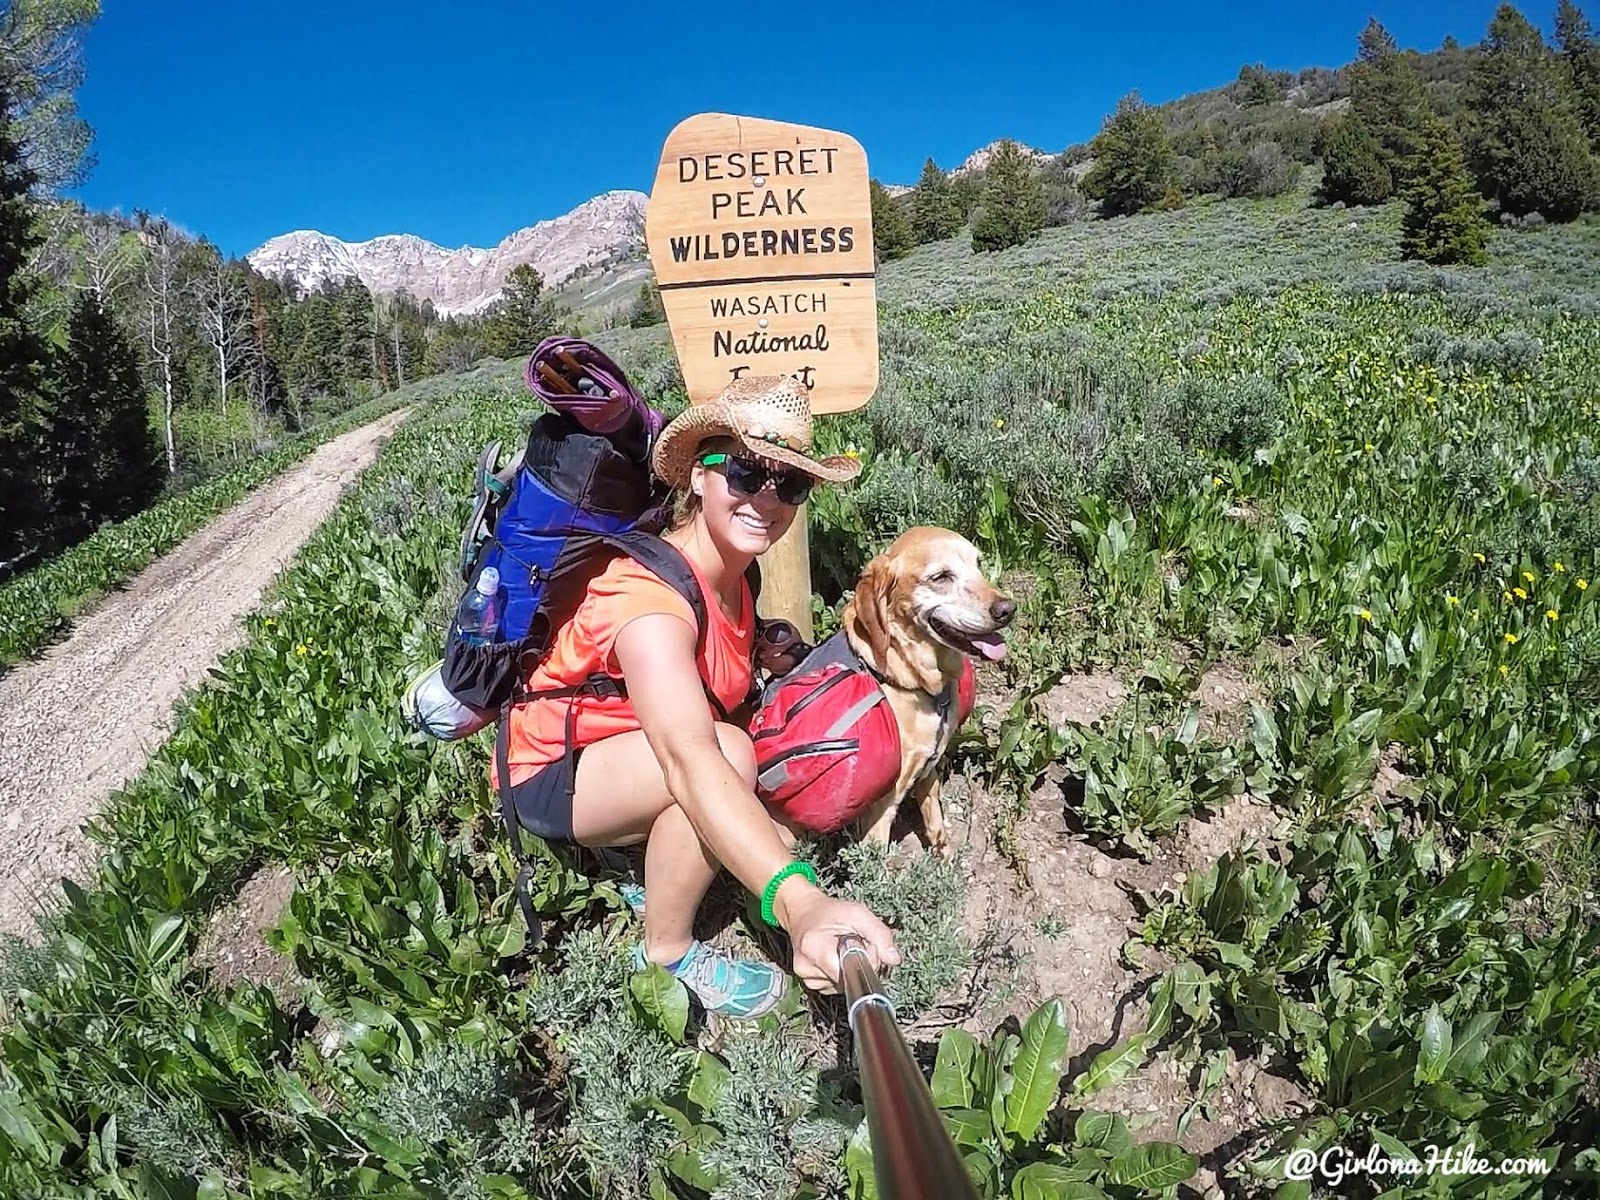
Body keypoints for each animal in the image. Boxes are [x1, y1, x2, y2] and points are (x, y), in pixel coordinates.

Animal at [838, 524, 1011, 857]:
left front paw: (946, 860)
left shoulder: (928, 771)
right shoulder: (881, 811)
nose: (1008, 609)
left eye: (978, 564)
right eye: (941, 577)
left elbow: (936, 823)